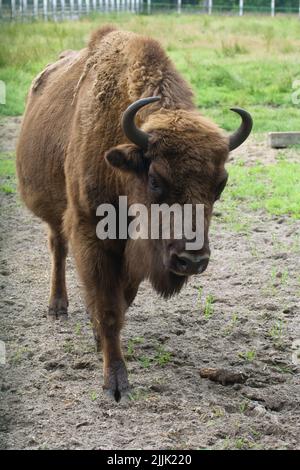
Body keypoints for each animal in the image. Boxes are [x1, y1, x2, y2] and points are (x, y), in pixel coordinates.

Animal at [15, 25, 251, 400]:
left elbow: (121, 300)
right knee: (57, 249)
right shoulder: (91, 231)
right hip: (54, 213)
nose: (192, 261)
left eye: (221, 183)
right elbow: (109, 308)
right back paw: (57, 307)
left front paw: (99, 339)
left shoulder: (136, 254)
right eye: (155, 179)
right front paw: (116, 382)